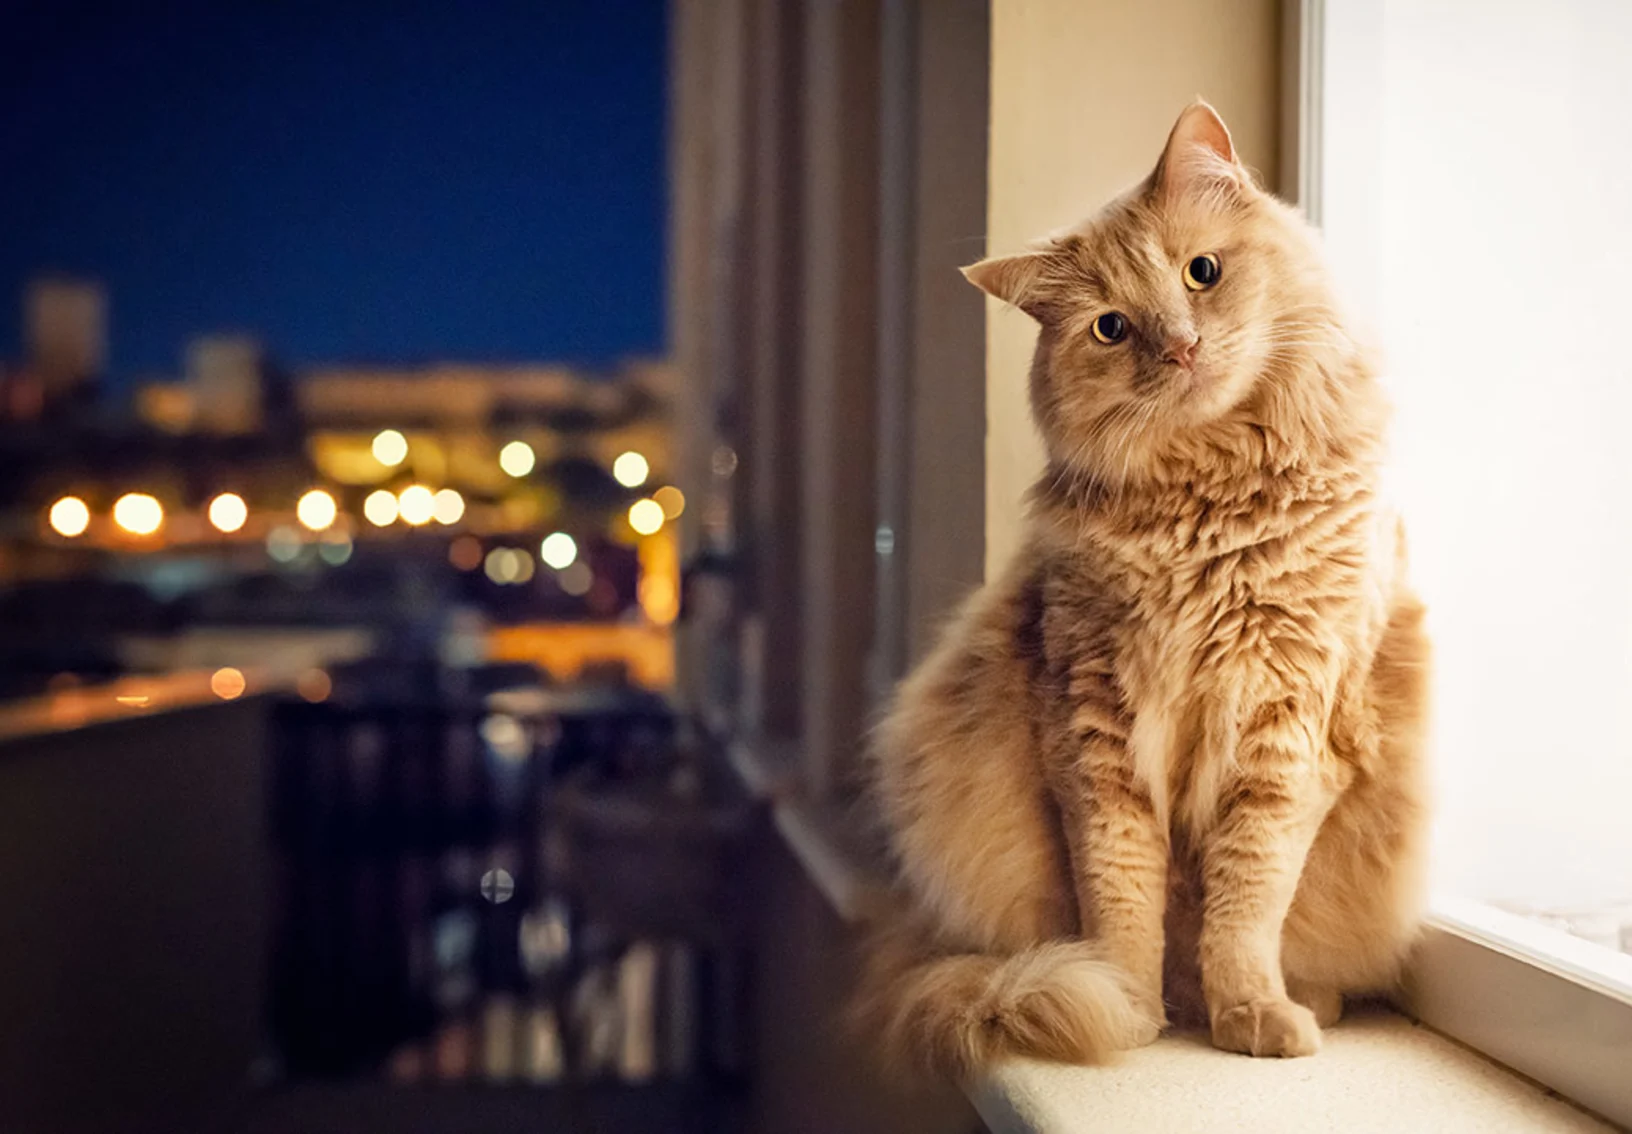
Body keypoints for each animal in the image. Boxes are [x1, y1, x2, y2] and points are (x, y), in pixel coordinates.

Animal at [868, 101, 1429, 1076]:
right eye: (1111, 329)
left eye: (1201, 273)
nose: (1180, 347)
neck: (1214, 505)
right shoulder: (1093, 730)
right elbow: (1122, 897)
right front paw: (1127, 1006)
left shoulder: (1287, 731)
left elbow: (1245, 905)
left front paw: (1248, 1011)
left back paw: (1303, 999)